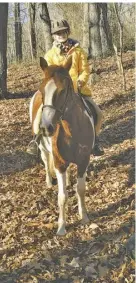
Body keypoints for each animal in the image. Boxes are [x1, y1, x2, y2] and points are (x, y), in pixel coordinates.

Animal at [29, 56, 95, 236]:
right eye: (42, 90)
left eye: (63, 90)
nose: (46, 127)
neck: (73, 130)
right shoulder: (59, 164)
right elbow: (62, 196)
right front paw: (61, 227)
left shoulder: (83, 160)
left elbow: (81, 189)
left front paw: (84, 216)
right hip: (44, 150)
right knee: (46, 162)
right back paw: (49, 181)